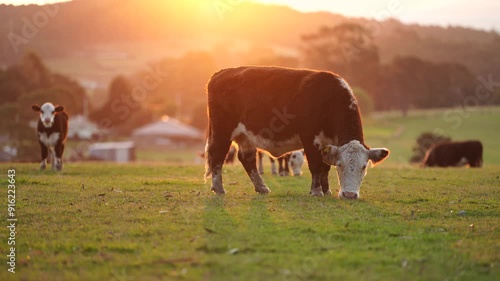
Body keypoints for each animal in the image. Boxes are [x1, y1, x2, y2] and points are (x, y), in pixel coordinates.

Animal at [204, 66, 390, 198]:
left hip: (245, 136)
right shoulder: (310, 138)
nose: (350, 195)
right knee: (217, 155)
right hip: (222, 131)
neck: (329, 99)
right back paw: (218, 188)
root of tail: (221, 73)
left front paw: (327, 190)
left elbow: (324, 167)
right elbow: (316, 165)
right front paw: (316, 191)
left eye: (364, 166)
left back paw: (261, 187)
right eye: (340, 165)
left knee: (247, 158)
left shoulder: (328, 143)